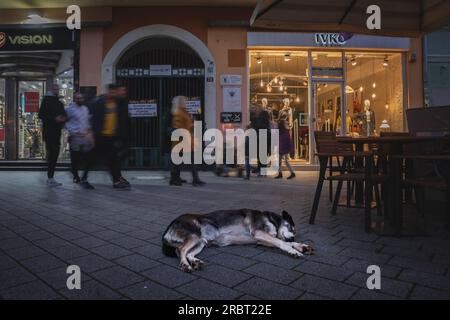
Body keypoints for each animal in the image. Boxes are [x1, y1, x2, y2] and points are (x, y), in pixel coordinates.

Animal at [161, 208, 312, 272]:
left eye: (295, 232)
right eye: (291, 227)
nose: (293, 236)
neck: (271, 220)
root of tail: (171, 223)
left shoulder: (262, 240)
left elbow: (285, 242)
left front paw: (300, 246)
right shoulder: (259, 233)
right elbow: (283, 243)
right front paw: (294, 251)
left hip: (201, 242)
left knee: (188, 253)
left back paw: (195, 262)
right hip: (194, 236)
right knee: (180, 250)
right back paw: (185, 265)